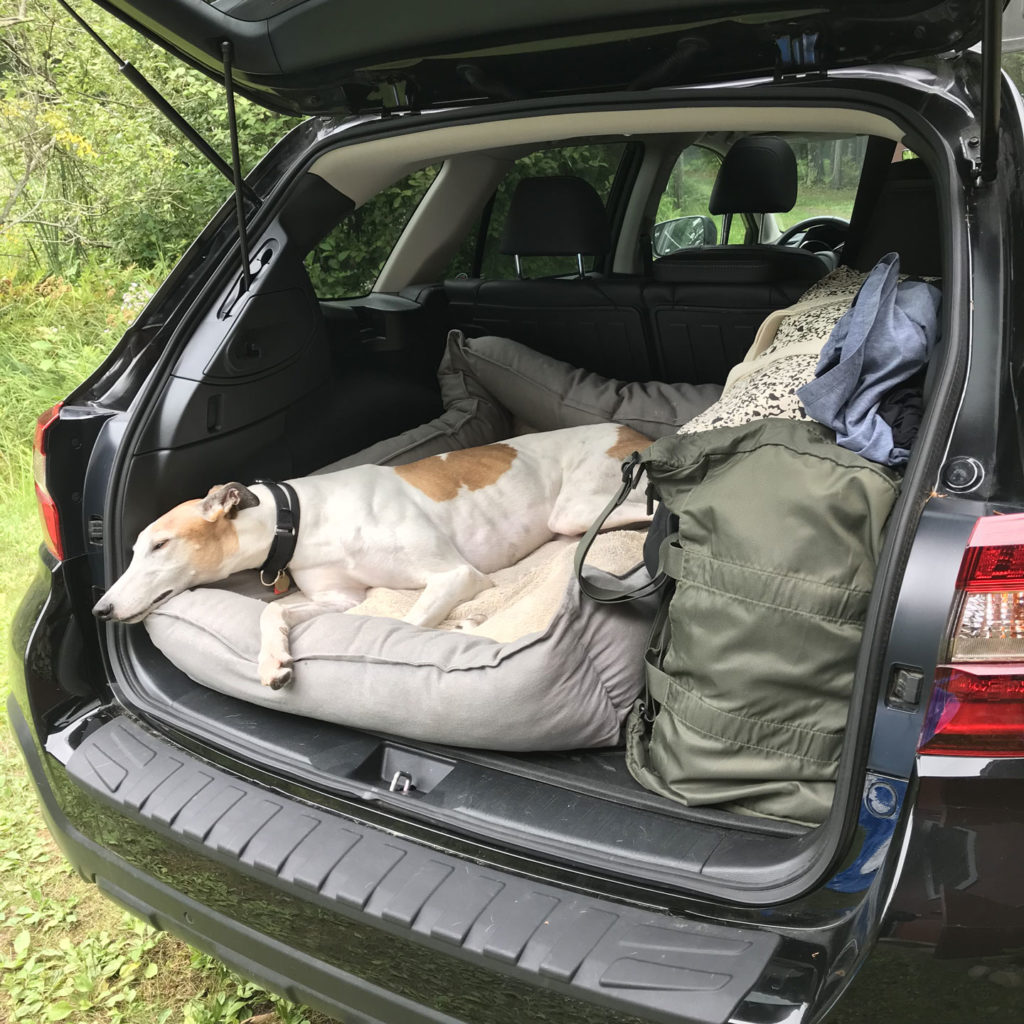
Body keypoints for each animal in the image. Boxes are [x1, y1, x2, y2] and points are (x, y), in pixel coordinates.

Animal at [97, 423, 655, 688]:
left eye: (160, 544)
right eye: (135, 548)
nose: (101, 609)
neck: (301, 517)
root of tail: (634, 432)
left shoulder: (457, 574)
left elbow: (405, 626)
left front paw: (469, 627)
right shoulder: (340, 599)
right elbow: (276, 611)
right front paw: (273, 660)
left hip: (579, 509)